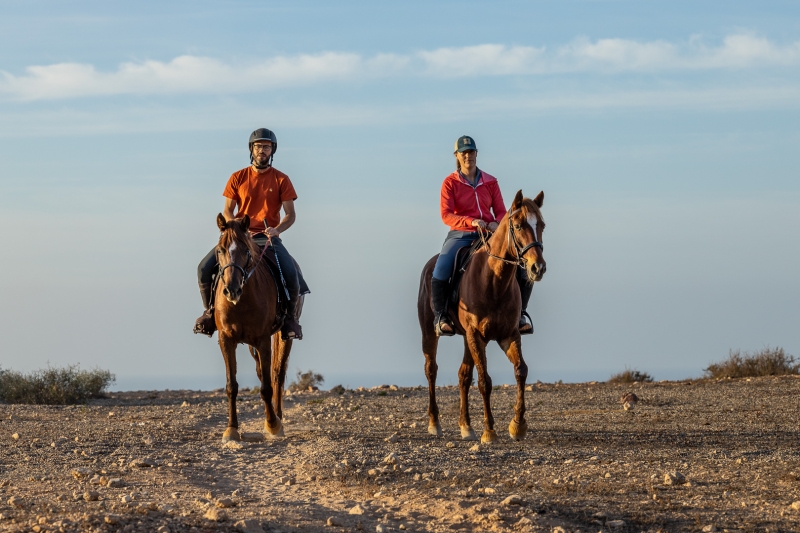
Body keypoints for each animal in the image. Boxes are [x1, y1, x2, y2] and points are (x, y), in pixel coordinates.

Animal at [214, 212, 298, 440]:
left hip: (283, 336)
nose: (231, 290)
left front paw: (272, 425)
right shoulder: (226, 340)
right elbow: (231, 385)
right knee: (263, 372)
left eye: (245, 250)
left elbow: (267, 386)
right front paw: (232, 428)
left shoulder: (263, 340)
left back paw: (277, 416)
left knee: (277, 374)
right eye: (220, 250)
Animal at [418, 189, 544, 442]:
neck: (494, 282)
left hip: (468, 338)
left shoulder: (509, 335)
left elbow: (521, 371)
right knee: (431, 371)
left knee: (464, 376)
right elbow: (485, 381)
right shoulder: (477, 336)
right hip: (430, 332)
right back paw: (435, 423)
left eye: (542, 225)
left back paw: (466, 426)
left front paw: (518, 425)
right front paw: (489, 430)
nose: (538, 268)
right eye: (518, 225)